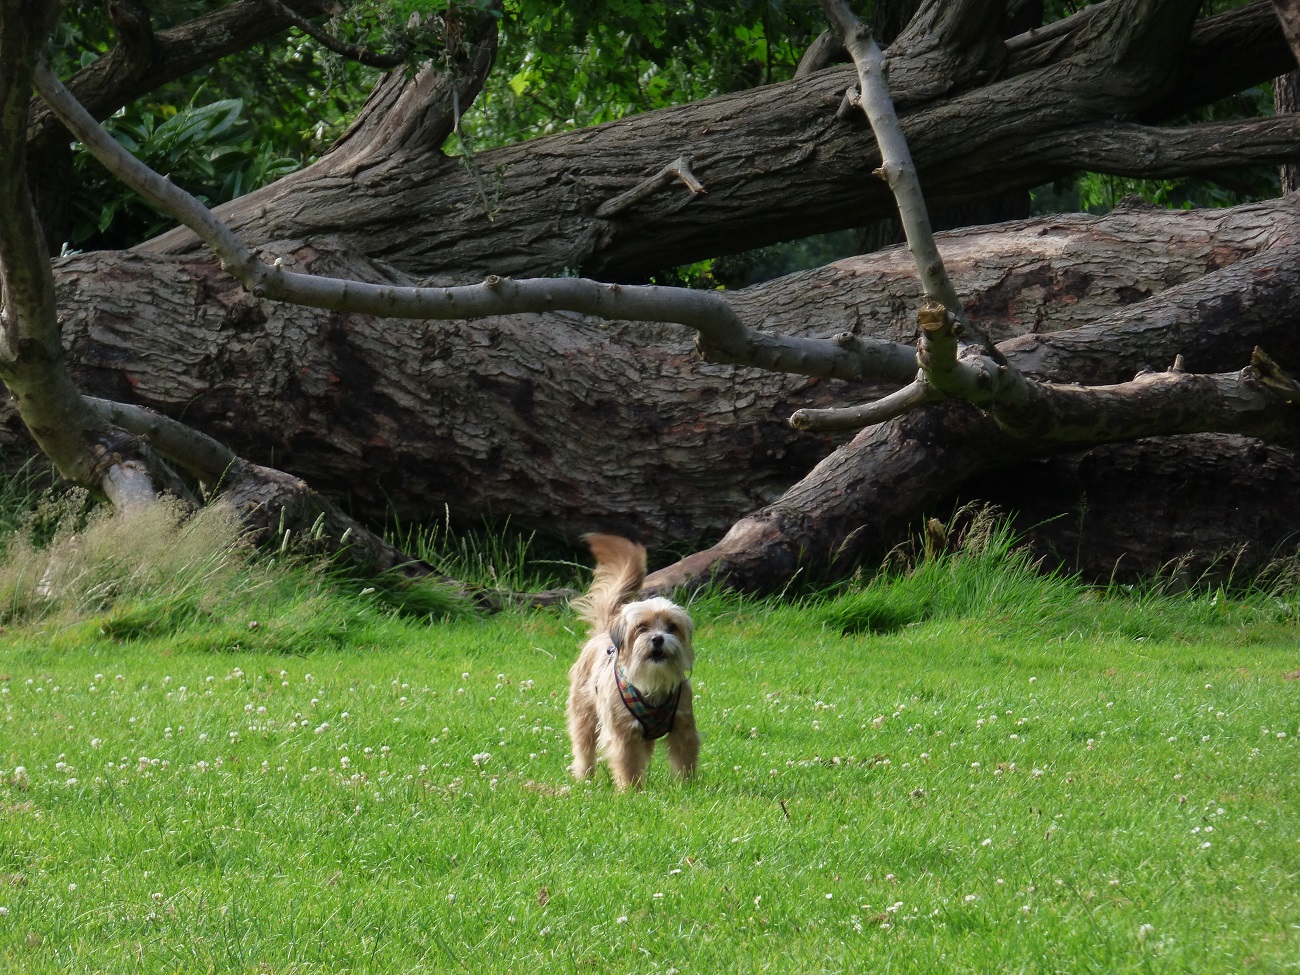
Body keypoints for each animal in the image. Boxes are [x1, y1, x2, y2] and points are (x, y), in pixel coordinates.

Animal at [564, 538, 696, 790]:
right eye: (642, 627)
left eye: (671, 627)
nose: (657, 638)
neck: (651, 683)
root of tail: (604, 631)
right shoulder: (624, 734)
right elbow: (628, 766)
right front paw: (631, 791)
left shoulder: (683, 727)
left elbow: (685, 761)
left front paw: (688, 787)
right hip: (584, 718)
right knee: (584, 749)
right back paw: (584, 777)